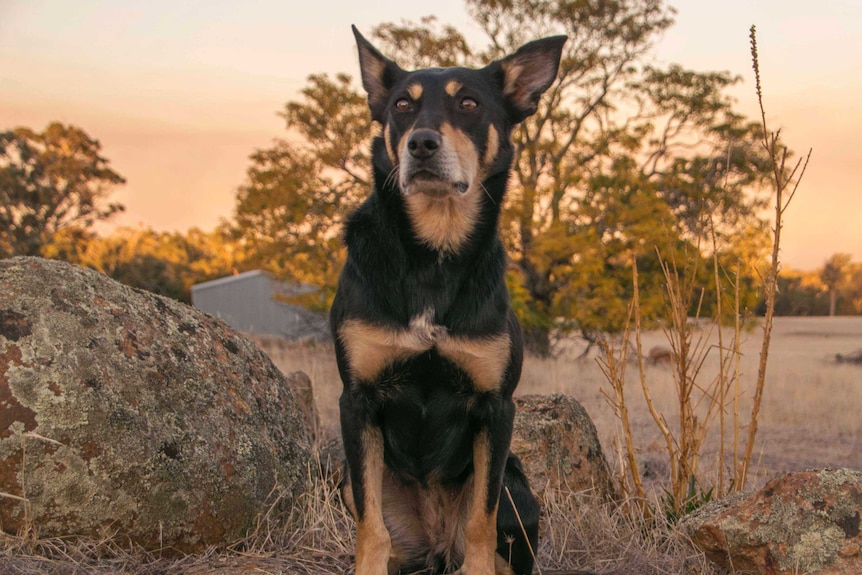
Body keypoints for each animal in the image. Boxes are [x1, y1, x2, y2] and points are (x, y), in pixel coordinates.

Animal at [334, 27, 572, 575]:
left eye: (468, 103)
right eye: (402, 105)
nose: (421, 143)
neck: (435, 254)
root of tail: (437, 543)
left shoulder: (495, 409)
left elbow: (481, 522)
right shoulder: (357, 402)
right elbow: (371, 528)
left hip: (519, 491)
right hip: (351, 482)